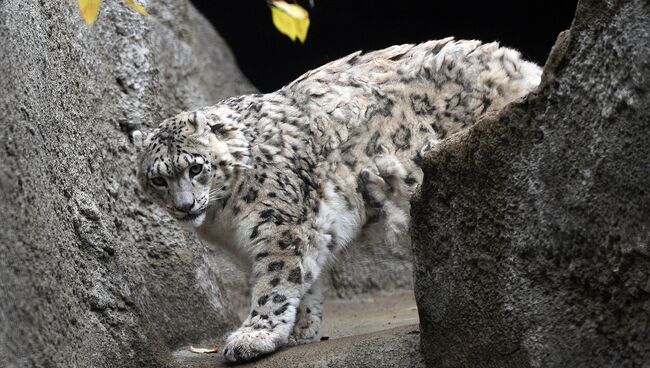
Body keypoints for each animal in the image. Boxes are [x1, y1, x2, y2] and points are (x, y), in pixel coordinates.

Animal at [133, 38, 540, 362]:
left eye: (196, 168)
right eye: (158, 179)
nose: (185, 206)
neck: (224, 218)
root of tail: (521, 63)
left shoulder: (279, 227)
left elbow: (274, 281)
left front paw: (254, 336)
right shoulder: (303, 230)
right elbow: (304, 278)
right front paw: (300, 331)